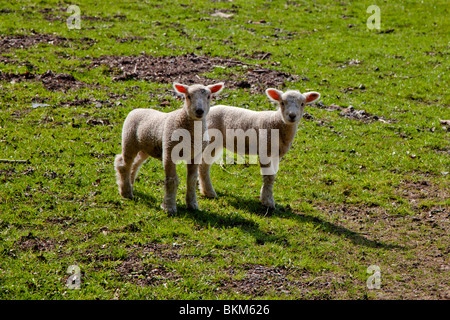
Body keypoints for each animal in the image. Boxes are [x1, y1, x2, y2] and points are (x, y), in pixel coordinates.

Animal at [114, 81, 223, 214]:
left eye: (209, 96)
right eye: (188, 96)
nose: (199, 111)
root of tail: (136, 109)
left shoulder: (195, 155)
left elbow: (192, 180)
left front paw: (192, 204)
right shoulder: (169, 152)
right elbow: (171, 180)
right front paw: (169, 207)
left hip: (144, 148)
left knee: (134, 165)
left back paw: (130, 186)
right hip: (129, 140)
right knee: (124, 164)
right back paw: (126, 192)